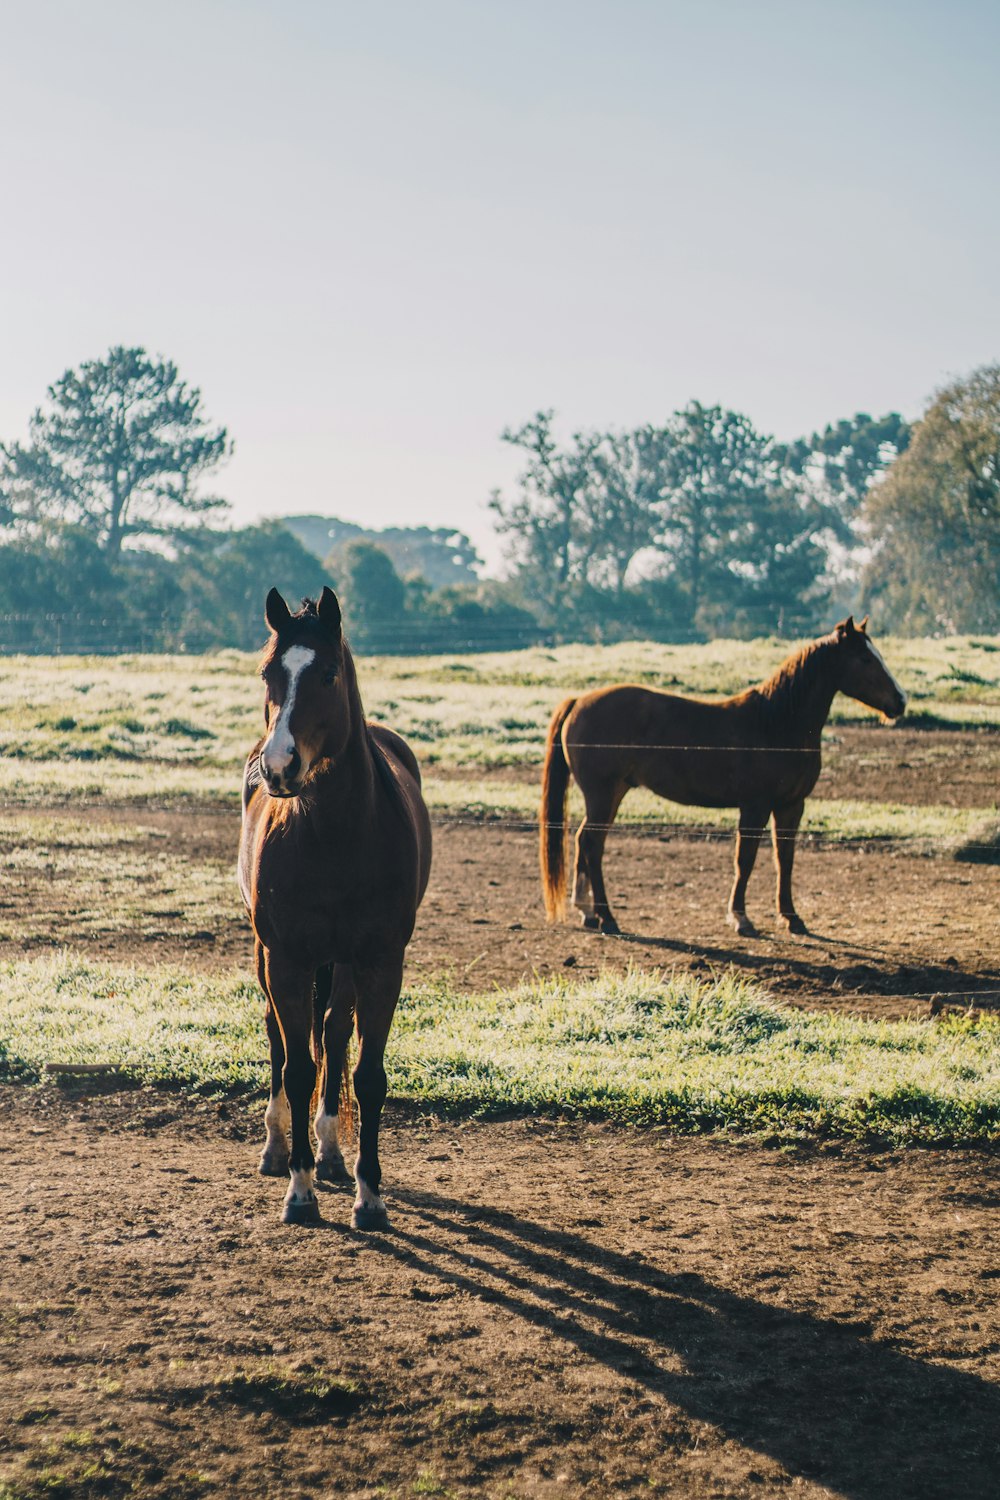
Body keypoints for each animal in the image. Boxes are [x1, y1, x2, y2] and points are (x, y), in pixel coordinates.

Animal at [242, 588, 434, 1230]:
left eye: (327, 673)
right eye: (268, 673)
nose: (279, 767)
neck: (332, 835)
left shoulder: (380, 961)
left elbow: (366, 1075)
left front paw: (368, 1195)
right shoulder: (287, 959)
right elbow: (297, 1068)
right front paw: (299, 1192)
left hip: (345, 964)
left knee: (333, 1030)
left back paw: (329, 1151)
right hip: (267, 956)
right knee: (280, 1035)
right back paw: (279, 1148)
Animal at [542, 615, 911, 930]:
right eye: (865, 659)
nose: (901, 701)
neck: (776, 724)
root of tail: (578, 701)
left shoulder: (791, 805)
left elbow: (785, 859)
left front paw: (791, 918)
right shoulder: (755, 806)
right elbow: (745, 859)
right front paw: (740, 917)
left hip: (612, 794)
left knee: (584, 840)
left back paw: (588, 912)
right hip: (604, 795)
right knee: (592, 844)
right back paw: (607, 917)